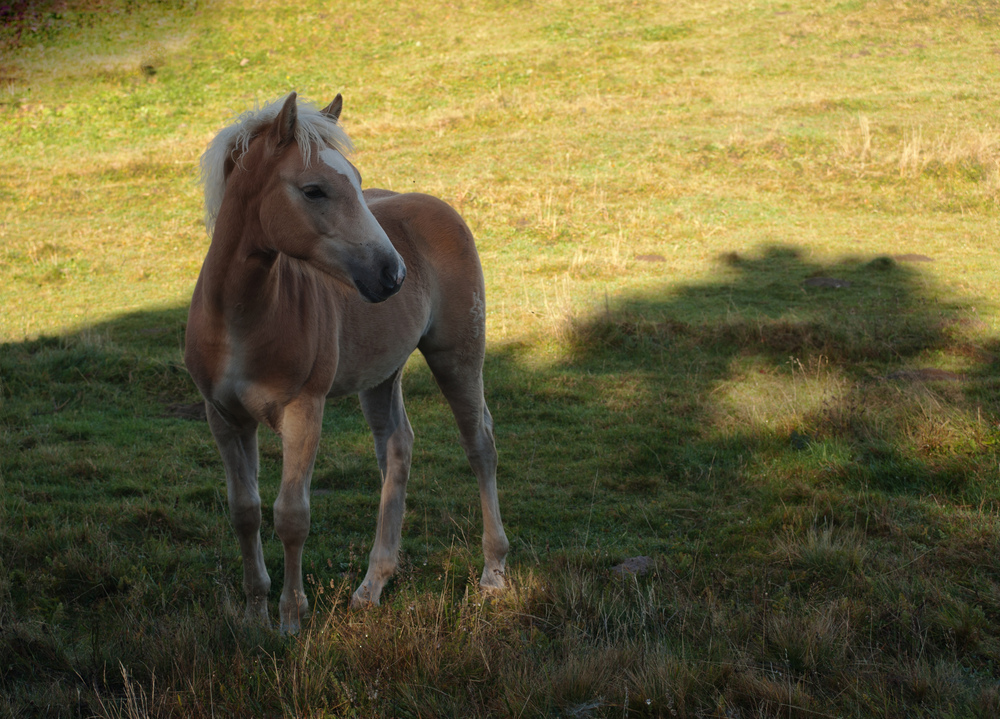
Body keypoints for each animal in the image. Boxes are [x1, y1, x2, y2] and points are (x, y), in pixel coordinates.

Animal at [184, 93, 508, 632]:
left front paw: (291, 619)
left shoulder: (303, 411)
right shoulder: (224, 418)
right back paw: (372, 585)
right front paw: (254, 612)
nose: (392, 272)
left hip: (457, 355)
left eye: (355, 180)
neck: (240, 319)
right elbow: (245, 511)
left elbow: (291, 515)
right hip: (380, 375)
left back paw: (493, 572)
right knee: (397, 449)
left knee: (479, 443)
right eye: (313, 190)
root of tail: (438, 206)